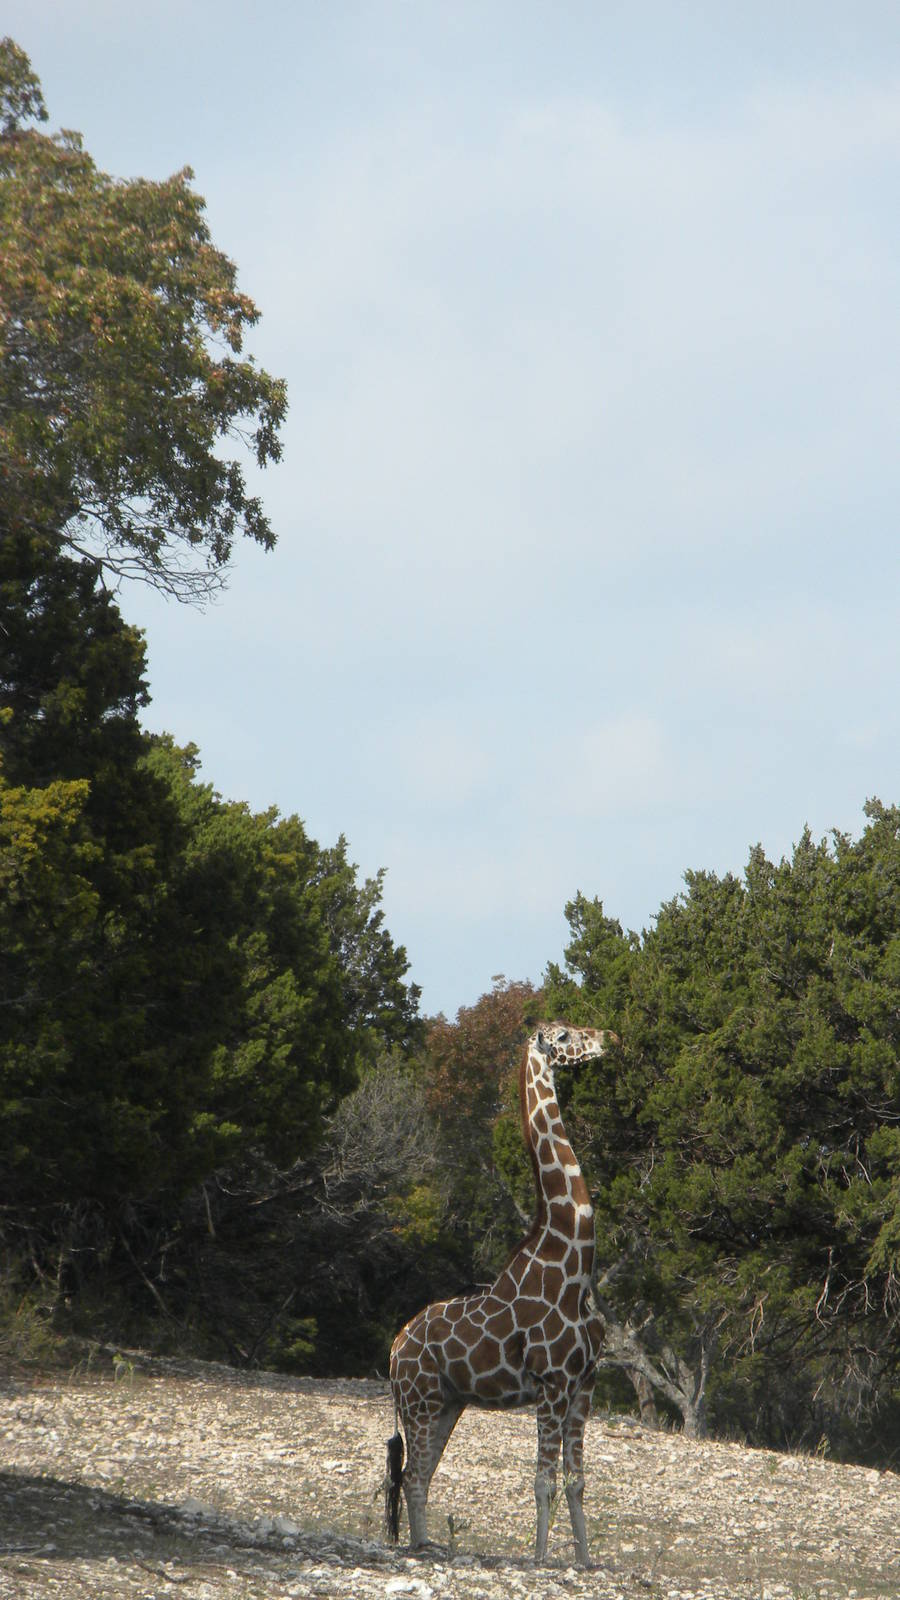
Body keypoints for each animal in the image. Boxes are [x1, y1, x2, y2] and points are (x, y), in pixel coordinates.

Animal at [385, 1021, 615, 1568]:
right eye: (563, 1035)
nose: (609, 1037)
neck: (574, 1266)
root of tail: (393, 1350)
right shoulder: (552, 1384)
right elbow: (542, 1481)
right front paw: (540, 1558)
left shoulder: (585, 1384)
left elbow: (577, 1482)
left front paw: (584, 1560)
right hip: (419, 1401)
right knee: (411, 1474)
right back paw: (422, 1547)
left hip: (447, 1403)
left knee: (419, 1474)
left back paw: (425, 1543)